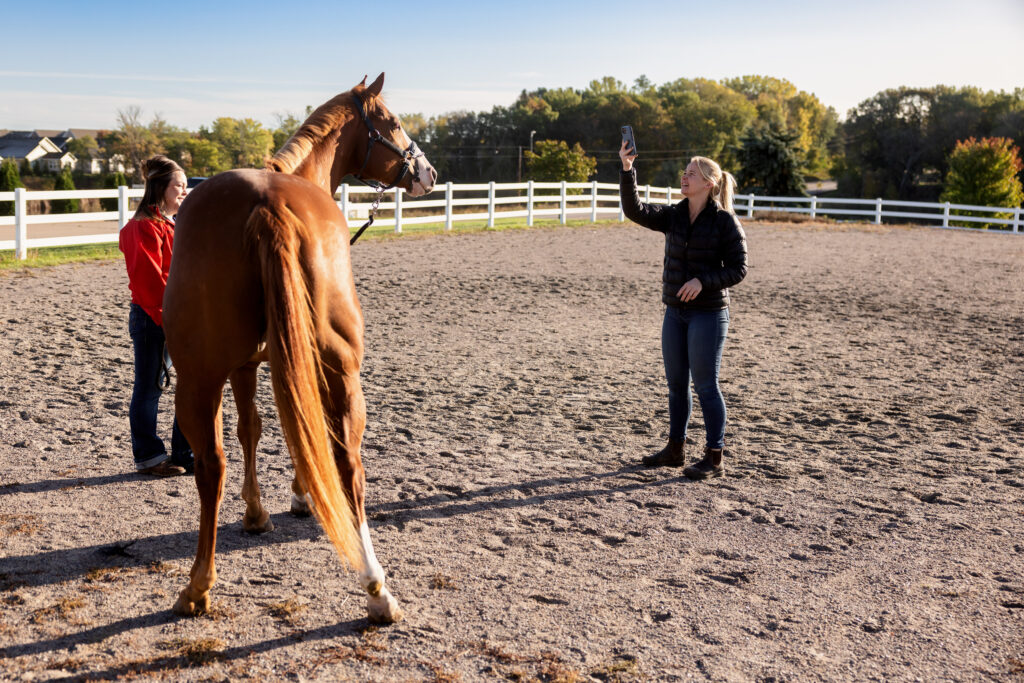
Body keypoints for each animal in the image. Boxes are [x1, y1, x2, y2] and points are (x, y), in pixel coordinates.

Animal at [163, 73, 436, 624]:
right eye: (394, 122)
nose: (429, 173)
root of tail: (266, 204)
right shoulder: (269, 364)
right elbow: (285, 431)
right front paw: (294, 498)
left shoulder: (247, 365)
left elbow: (256, 429)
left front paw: (258, 510)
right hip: (337, 370)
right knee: (348, 465)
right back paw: (376, 589)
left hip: (200, 376)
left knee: (212, 465)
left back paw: (199, 584)